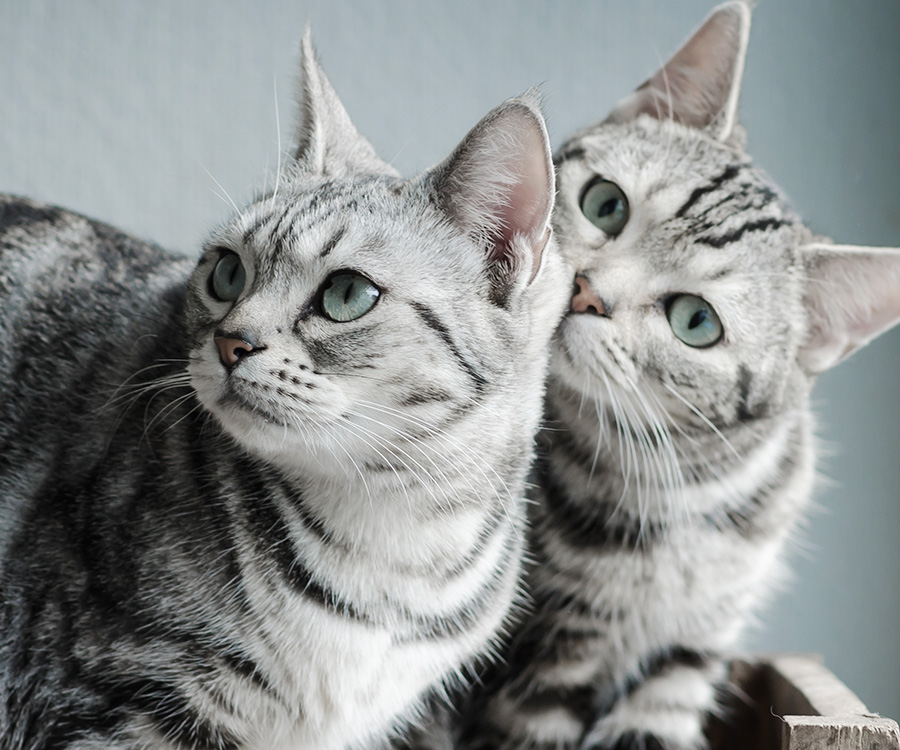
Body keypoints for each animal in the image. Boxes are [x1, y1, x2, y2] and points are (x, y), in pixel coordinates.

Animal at [446, 1, 900, 750]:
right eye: (605, 204)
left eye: (695, 321)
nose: (587, 292)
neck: (675, 498)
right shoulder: (534, 667)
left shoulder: (689, 653)